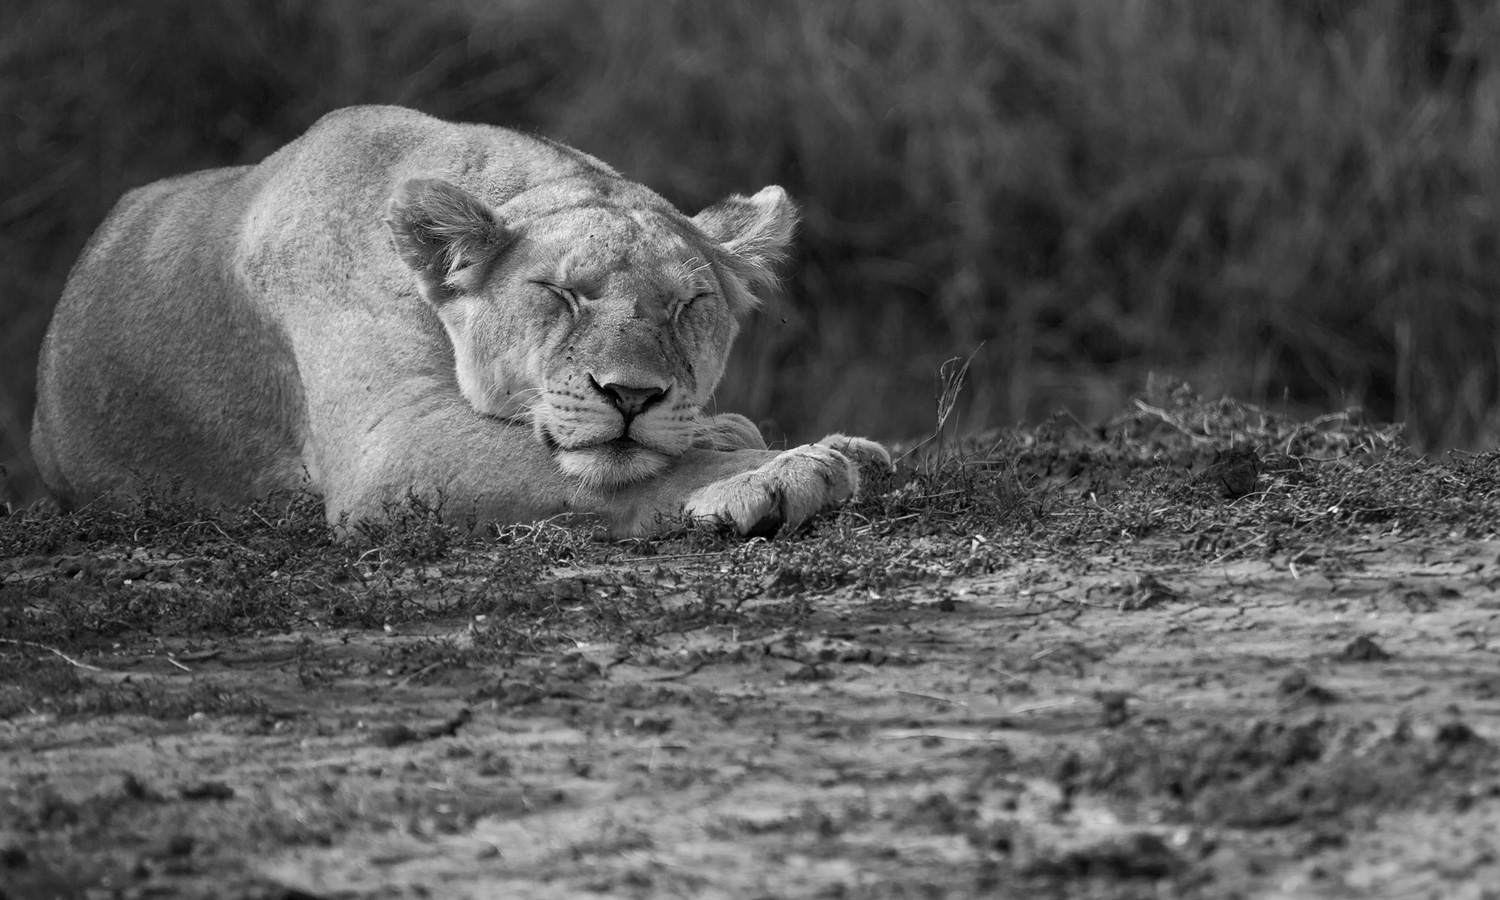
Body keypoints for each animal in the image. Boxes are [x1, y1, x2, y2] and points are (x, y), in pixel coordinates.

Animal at [30, 106, 889, 537]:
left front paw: (803, 444)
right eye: (559, 294)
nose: (632, 396)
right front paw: (781, 470)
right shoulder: (394, 448)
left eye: (688, 306)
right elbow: (618, 471)